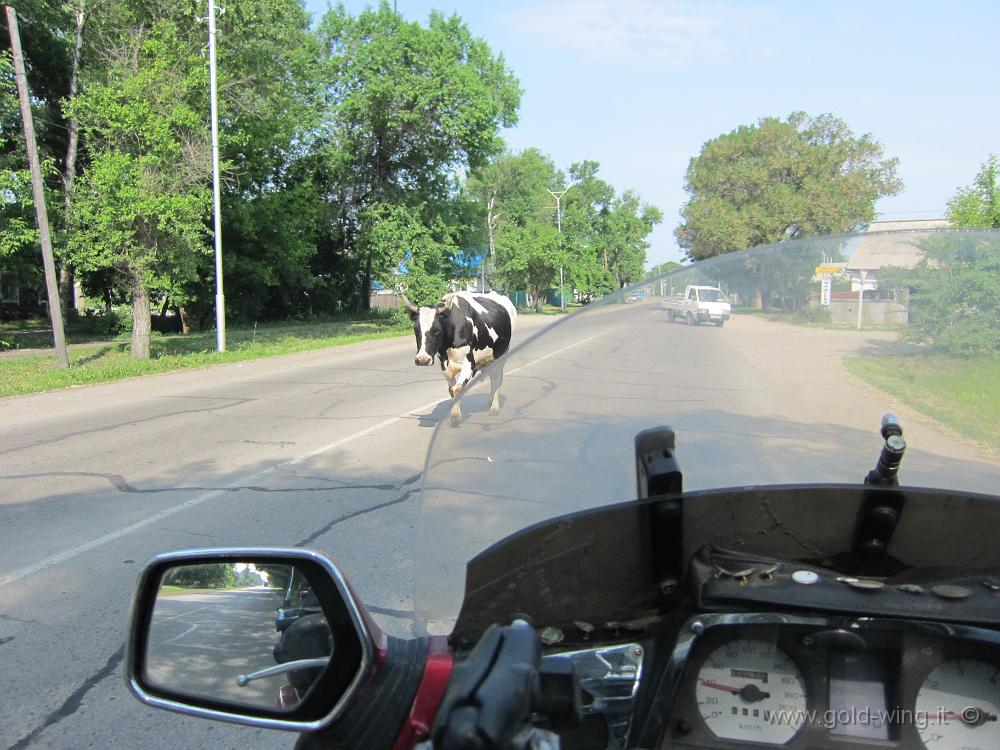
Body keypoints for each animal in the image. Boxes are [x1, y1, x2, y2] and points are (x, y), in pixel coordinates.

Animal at [402, 290, 520, 426]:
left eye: (437, 330)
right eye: (416, 329)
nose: (422, 359)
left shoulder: (469, 362)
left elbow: (458, 389)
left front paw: (455, 416)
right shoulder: (445, 365)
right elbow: (451, 390)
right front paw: (456, 413)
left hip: (502, 354)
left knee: (497, 379)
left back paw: (495, 408)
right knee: (492, 377)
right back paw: (489, 403)